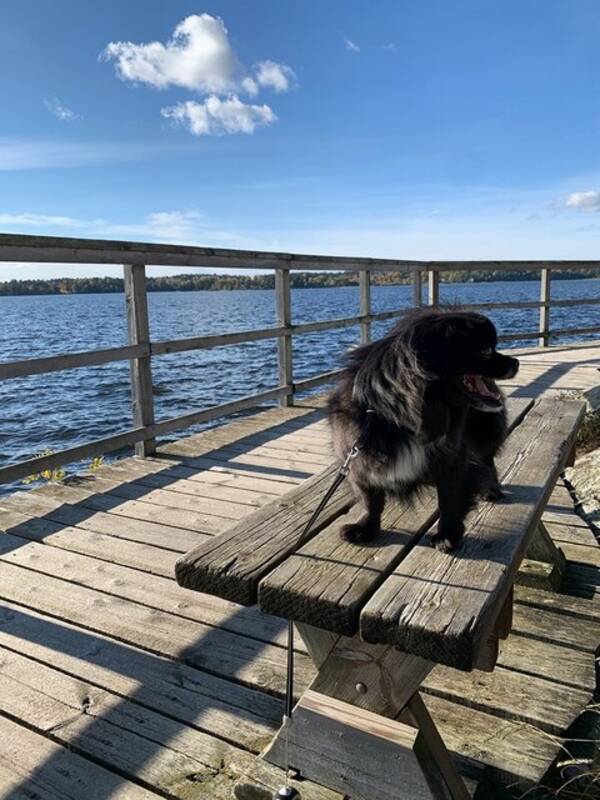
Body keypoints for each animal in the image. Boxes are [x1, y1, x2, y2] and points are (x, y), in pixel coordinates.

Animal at [328, 306, 520, 552]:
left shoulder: (453, 460)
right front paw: (366, 529)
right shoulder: (358, 462)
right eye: (486, 350)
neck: (403, 419)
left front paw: (447, 535)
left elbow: (449, 500)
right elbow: (370, 500)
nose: (516, 362)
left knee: (487, 461)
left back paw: (492, 490)